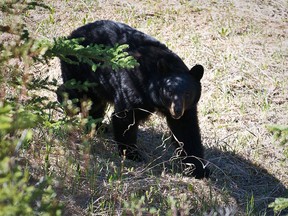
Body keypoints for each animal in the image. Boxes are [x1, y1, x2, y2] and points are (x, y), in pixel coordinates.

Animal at [56, 20, 209, 179]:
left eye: (187, 93)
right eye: (169, 92)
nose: (177, 111)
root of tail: (71, 35)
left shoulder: (187, 108)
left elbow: (186, 131)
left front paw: (198, 168)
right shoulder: (133, 86)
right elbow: (125, 118)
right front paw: (132, 154)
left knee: (95, 103)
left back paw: (98, 126)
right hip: (82, 70)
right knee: (77, 94)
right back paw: (66, 102)